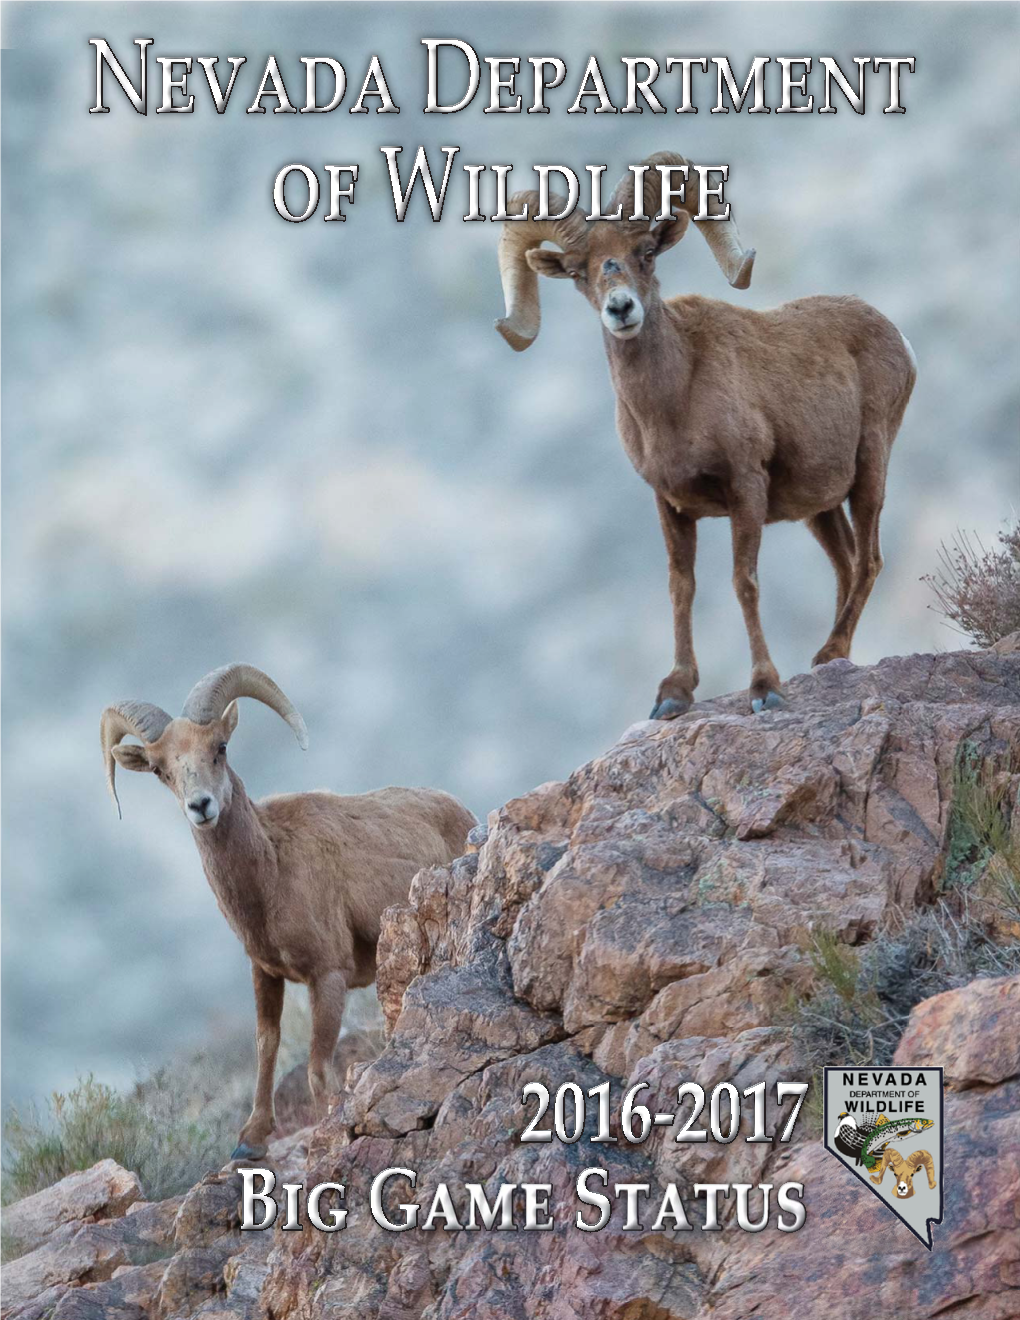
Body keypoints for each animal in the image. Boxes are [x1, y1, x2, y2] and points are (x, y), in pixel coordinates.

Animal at [99, 660, 472, 1156]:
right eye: (160, 770)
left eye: (219, 748)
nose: (201, 806)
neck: (273, 875)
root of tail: (464, 813)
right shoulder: (266, 973)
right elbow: (267, 1046)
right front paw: (250, 1140)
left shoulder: (328, 976)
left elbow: (316, 1069)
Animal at [493, 151, 913, 723]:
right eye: (579, 272)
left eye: (645, 252)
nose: (621, 309)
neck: (674, 404)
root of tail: (898, 338)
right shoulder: (670, 505)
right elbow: (681, 587)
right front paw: (674, 693)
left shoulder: (745, 490)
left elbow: (744, 582)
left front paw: (764, 688)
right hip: (819, 508)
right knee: (847, 564)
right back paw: (832, 655)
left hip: (870, 469)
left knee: (869, 560)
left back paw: (829, 653)